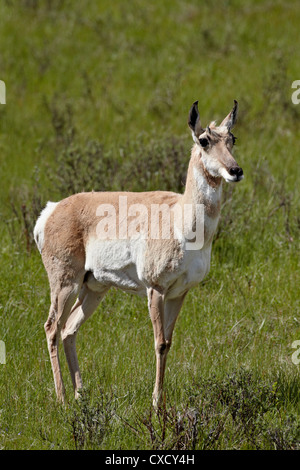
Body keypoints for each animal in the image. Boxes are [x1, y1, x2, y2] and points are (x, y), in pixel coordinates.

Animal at [34, 100, 244, 408]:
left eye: (232, 139)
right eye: (204, 140)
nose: (235, 170)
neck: (180, 219)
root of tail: (51, 210)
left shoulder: (179, 293)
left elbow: (169, 342)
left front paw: (162, 402)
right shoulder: (155, 289)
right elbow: (159, 342)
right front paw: (156, 404)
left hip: (94, 288)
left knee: (69, 329)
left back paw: (81, 395)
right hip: (65, 284)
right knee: (51, 327)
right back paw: (61, 399)